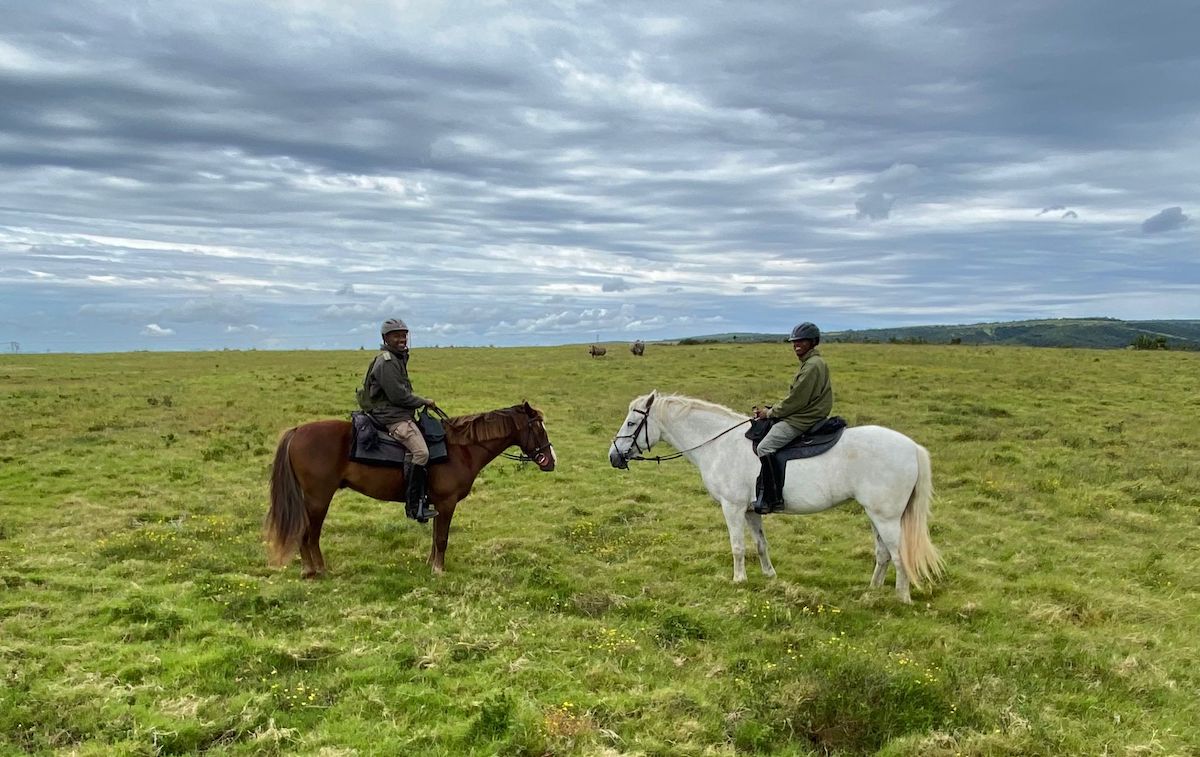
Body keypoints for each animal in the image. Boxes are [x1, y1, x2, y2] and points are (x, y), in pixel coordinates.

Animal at [265, 405, 554, 578]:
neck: (461, 449)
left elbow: (435, 537)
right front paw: (439, 570)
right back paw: (314, 570)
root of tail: (297, 431)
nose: (551, 461)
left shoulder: (435, 504)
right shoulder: (447, 503)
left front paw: (430, 564)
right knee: (308, 534)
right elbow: (442, 538)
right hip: (318, 498)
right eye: (537, 427)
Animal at [614, 391, 940, 604]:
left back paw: (901, 597)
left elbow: (737, 547)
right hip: (875, 515)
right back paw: (871, 592)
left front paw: (739, 581)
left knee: (898, 555)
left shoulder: (732, 507)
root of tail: (912, 447)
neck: (719, 443)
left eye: (631, 424)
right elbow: (760, 544)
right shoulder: (750, 510)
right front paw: (769, 576)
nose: (614, 456)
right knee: (883, 553)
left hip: (886, 518)